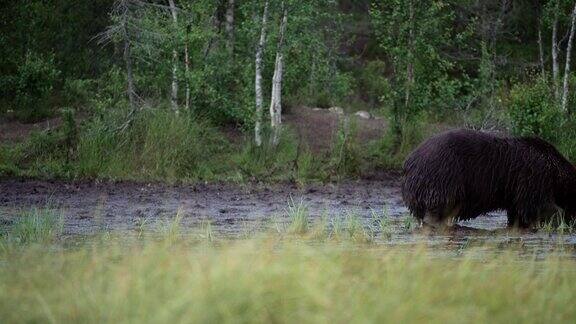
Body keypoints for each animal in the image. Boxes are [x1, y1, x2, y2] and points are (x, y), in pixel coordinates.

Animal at [400, 128, 576, 228]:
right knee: (439, 209)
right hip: (442, 177)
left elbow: (518, 215)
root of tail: (409, 162)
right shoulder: (533, 177)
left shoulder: (514, 192)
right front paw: (561, 221)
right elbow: (541, 206)